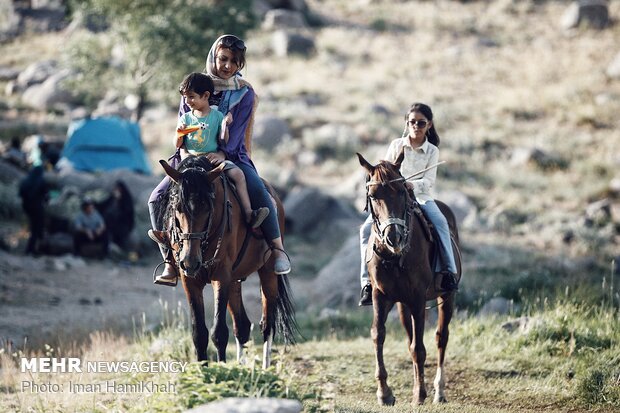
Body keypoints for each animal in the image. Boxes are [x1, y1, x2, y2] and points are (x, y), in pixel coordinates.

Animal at [157, 155, 298, 366]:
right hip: (234, 281)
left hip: (267, 273)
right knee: (242, 326)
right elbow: (199, 333)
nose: (190, 261)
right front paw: (203, 370)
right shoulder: (189, 280)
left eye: (208, 208)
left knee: (267, 324)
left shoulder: (221, 276)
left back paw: (265, 368)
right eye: (177, 207)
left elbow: (219, 332)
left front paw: (221, 368)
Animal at [358, 151, 460, 406]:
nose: (393, 236)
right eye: (373, 196)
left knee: (441, 337)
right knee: (410, 338)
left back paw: (438, 391)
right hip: (402, 306)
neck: (394, 258)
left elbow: (419, 348)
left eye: (402, 191)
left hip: (446, 297)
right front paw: (384, 393)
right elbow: (378, 335)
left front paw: (419, 394)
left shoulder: (417, 299)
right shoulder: (380, 296)